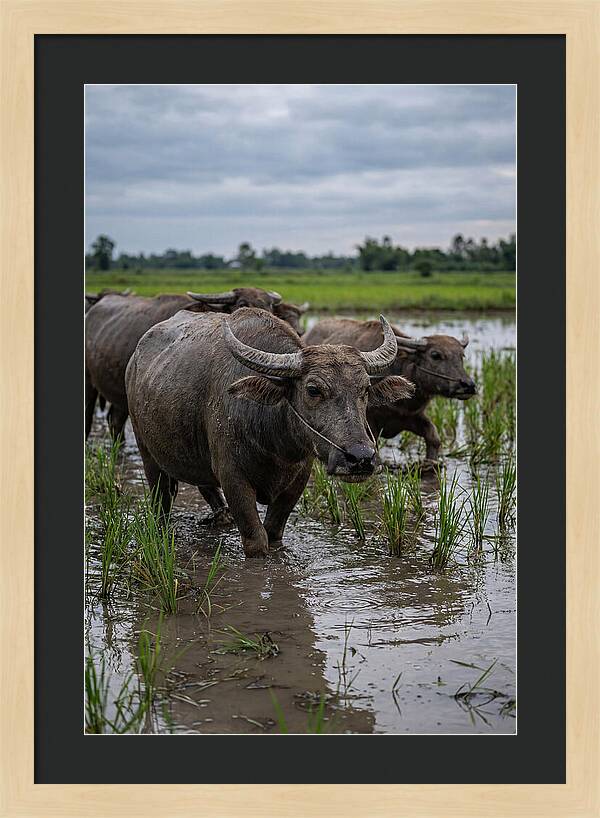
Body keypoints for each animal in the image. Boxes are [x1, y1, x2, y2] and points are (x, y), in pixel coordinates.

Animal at [125, 308, 413, 557]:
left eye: (365, 389)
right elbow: (257, 541)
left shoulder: (298, 479)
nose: (361, 458)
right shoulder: (233, 477)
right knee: (161, 500)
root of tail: (134, 361)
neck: (275, 444)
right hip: (147, 452)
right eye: (313, 390)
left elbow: (273, 533)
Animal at [304, 317, 476, 462]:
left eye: (461, 356)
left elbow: (433, 437)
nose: (468, 385)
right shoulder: (369, 423)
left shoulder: (412, 416)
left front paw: (431, 463)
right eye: (436, 355)